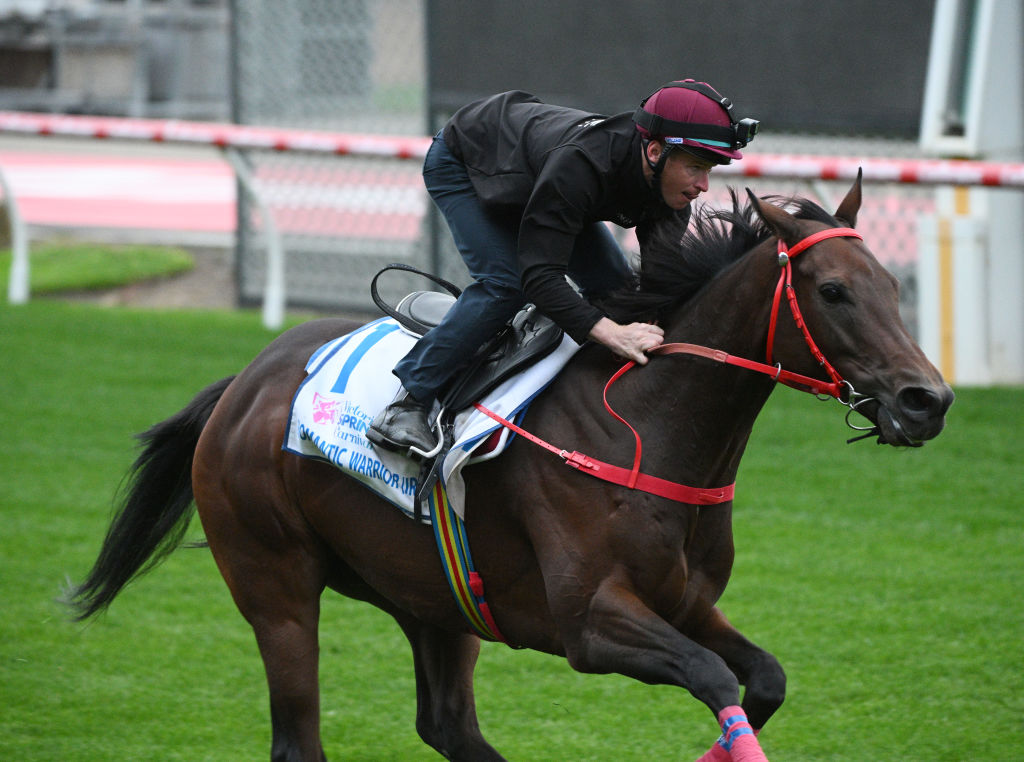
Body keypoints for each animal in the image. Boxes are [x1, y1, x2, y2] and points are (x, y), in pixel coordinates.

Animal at [68, 174, 954, 762]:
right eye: (834, 291)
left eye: (894, 286)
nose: (928, 400)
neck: (649, 424)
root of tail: (241, 384)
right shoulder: (590, 622)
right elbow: (713, 677)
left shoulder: (685, 602)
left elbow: (762, 678)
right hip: (275, 586)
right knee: (299, 736)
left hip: (436, 595)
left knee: (448, 725)